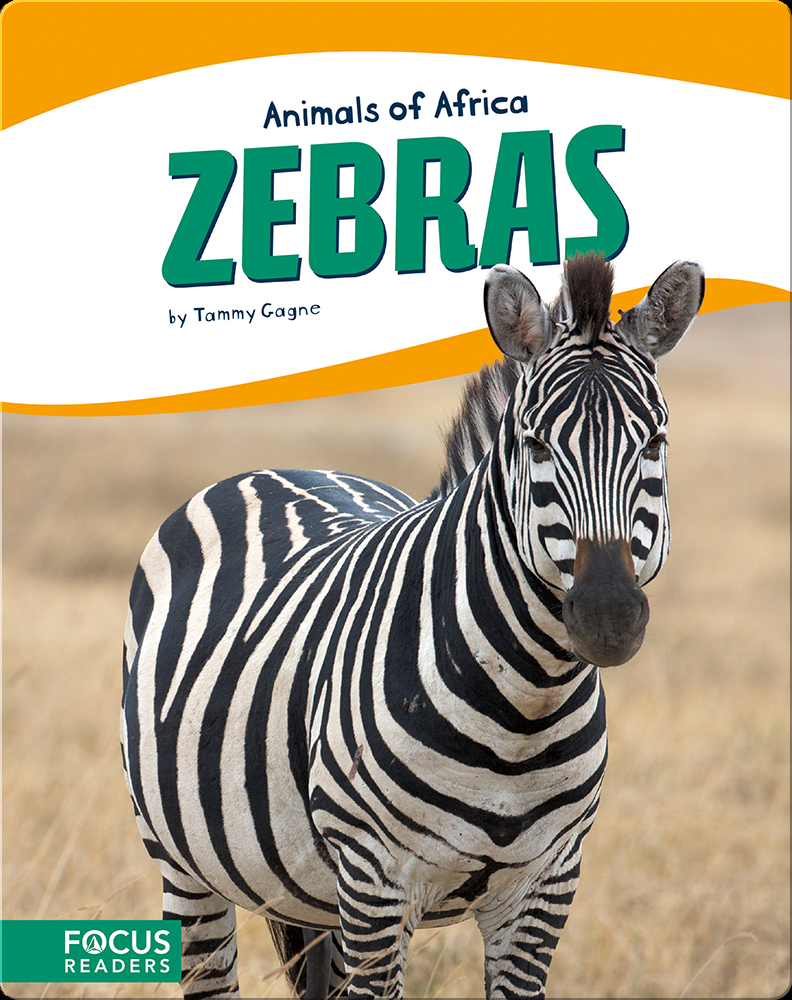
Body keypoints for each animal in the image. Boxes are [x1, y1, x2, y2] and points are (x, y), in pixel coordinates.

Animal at [121, 252, 704, 999]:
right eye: (534, 444)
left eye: (655, 441)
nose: (609, 618)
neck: (524, 707)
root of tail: (278, 467)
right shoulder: (378, 879)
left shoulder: (547, 885)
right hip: (185, 866)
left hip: (316, 895)